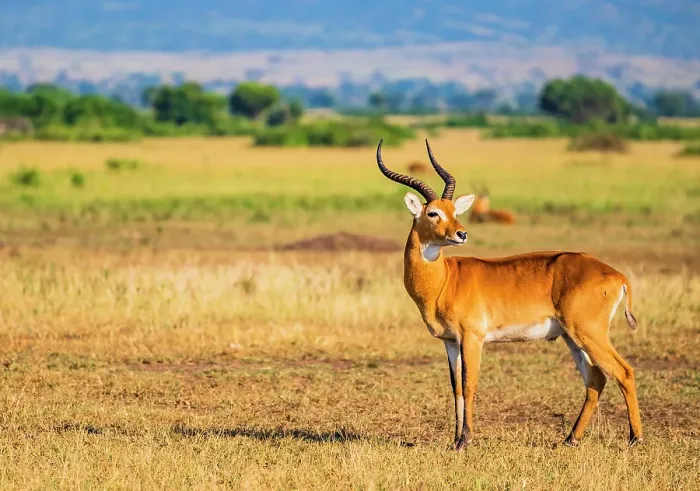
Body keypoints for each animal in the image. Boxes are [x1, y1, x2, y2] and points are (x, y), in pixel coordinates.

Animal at [376, 138, 642, 449]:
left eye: (455, 211)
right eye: (433, 213)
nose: (462, 234)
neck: (444, 280)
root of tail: (616, 274)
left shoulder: (473, 338)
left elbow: (469, 385)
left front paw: (465, 440)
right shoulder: (450, 342)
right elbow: (456, 388)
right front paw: (454, 441)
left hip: (589, 332)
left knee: (624, 371)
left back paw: (635, 438)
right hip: (572, 337)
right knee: (596, 379)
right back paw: (569, 439)